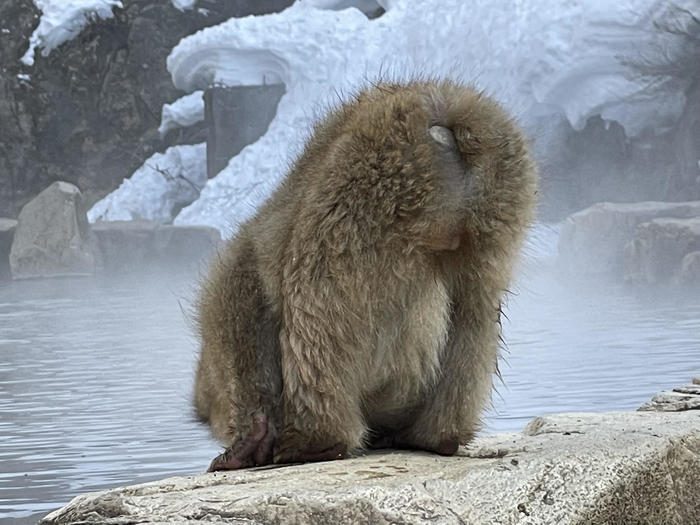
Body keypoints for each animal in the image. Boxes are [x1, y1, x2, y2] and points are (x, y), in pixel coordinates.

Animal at [194, 79, 540, 470]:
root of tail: (445, 122)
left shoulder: (239, 281)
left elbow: (240, 312)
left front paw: (250, 437)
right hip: (499, 204)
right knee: (477, 305)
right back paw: (437, 436)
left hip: (366, 197)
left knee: (315, 304)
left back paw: (318, 441)